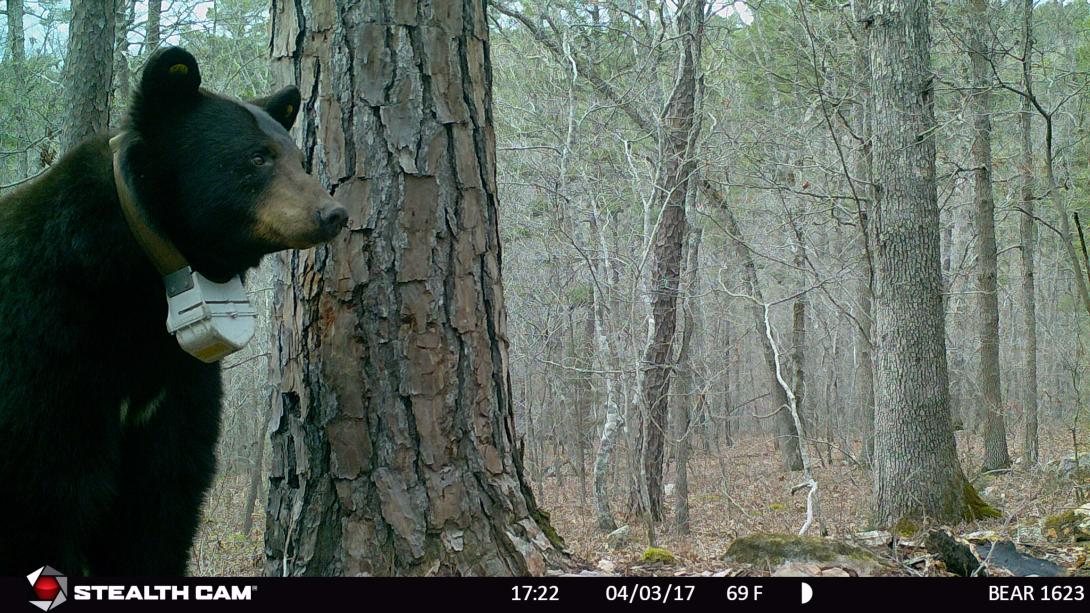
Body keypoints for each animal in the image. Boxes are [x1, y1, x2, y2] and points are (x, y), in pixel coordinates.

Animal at [0, 47, 346, 571]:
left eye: (299, 159)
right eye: (256, 157)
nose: (332, 214)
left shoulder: (176, 379)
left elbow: (162, 498)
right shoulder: (46, 350)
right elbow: (44, 488)